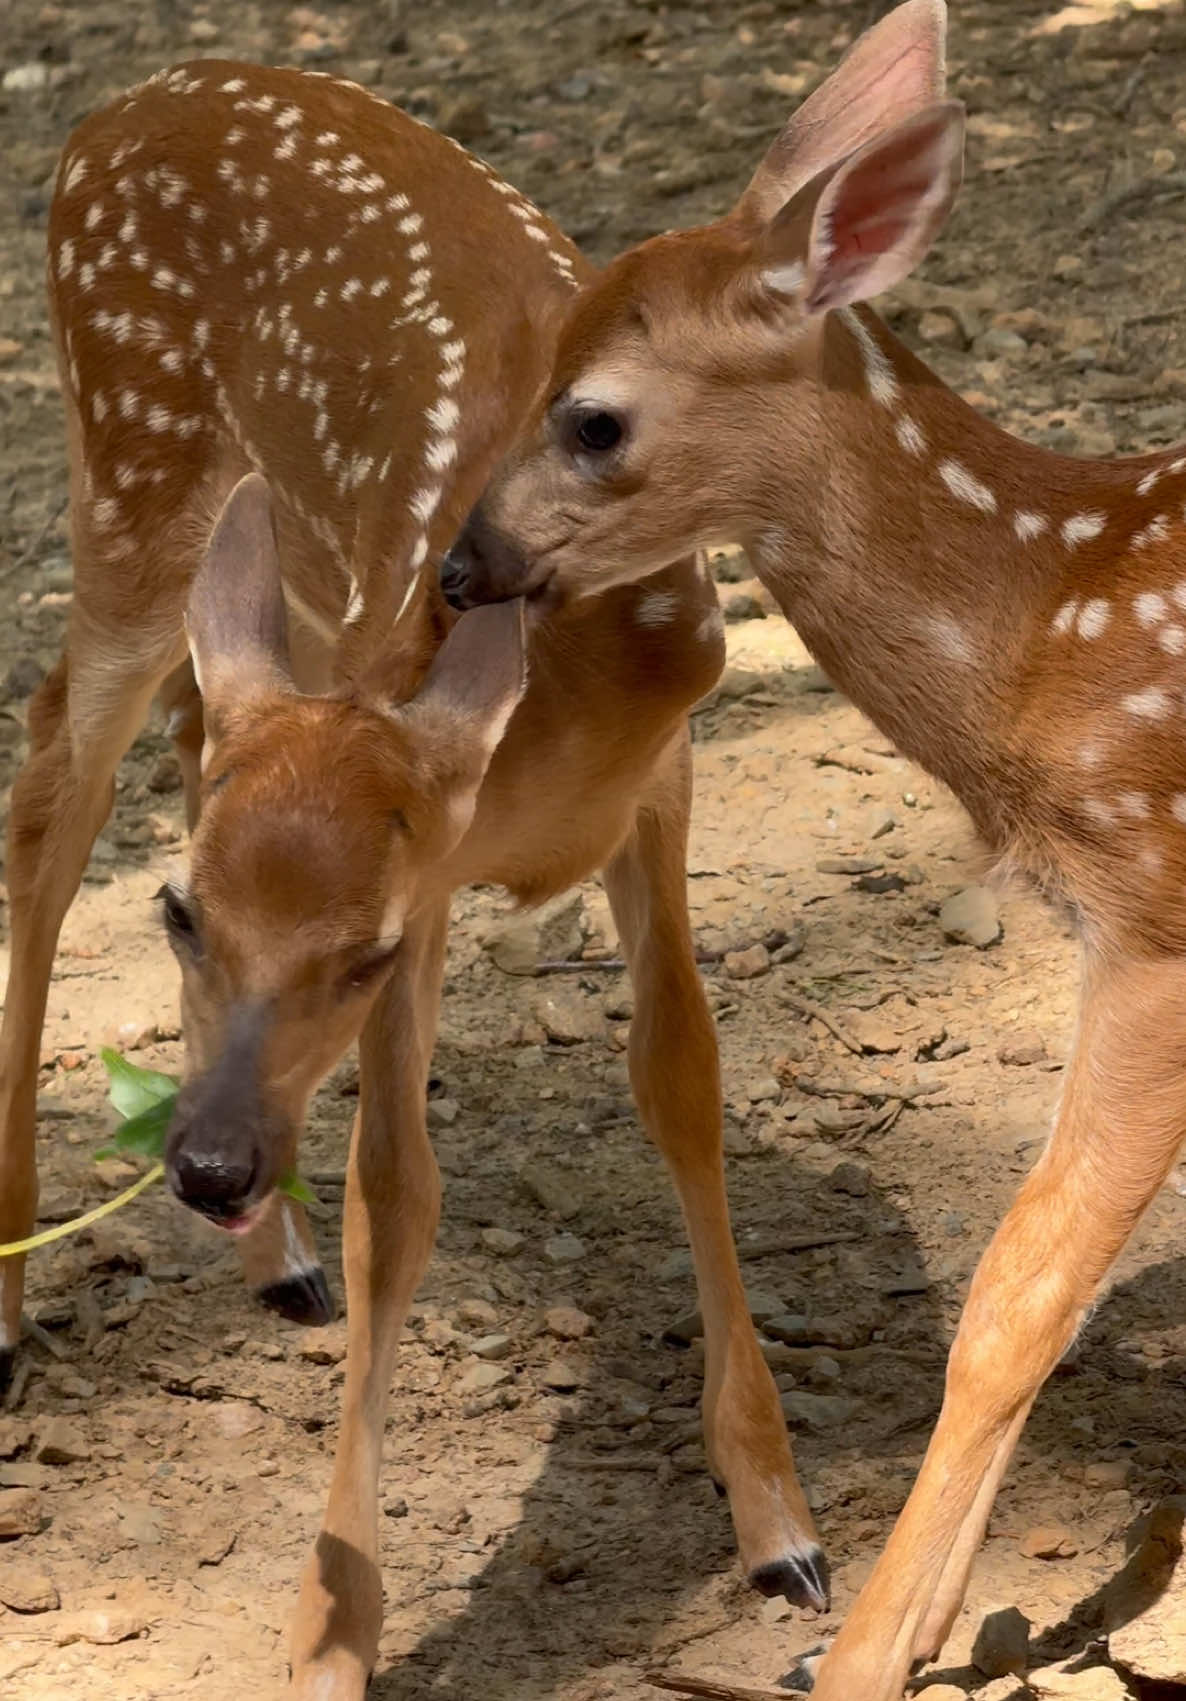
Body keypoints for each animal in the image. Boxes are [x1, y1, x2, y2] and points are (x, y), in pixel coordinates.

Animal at [1, 59, 825, 1700]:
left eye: (358, 952)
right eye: (178, 917)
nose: (207, 1169)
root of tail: (114, 111)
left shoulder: (654, 785)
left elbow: (683, 1080)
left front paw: (776, 1519)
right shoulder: (435, 854)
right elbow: (400, 1194)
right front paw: (332, 1630)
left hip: (264, 575)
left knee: (177, 742)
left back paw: (276, 1259)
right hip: (135, 480)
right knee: (47, 787)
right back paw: (23, 1291)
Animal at [440, 0, 1186, 1694]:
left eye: (592, 416)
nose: (461, 565)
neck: (1047, 638)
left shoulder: (1155, 907)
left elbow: (1021, 1282)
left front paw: (859, 1657)